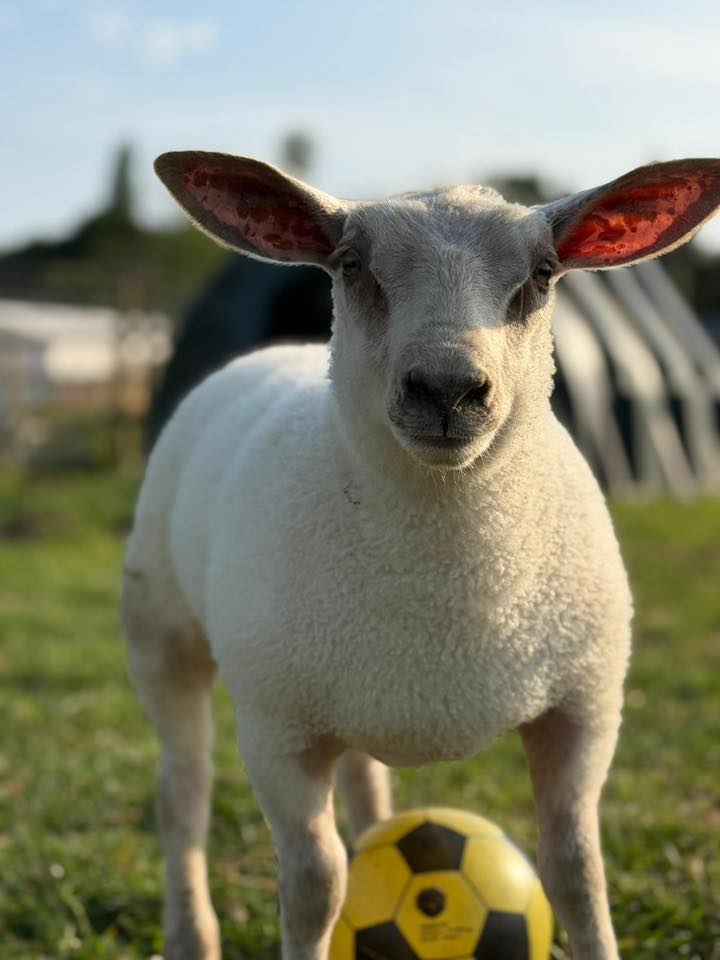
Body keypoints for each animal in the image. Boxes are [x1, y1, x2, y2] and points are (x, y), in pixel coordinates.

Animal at [122, 152, 720, 960]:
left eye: (543, 272)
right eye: (351, 264)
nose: (447, 388)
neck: (443, 592)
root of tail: (281, 348)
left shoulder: (584, 707)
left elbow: (576, 871)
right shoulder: (279, 730)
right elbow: (312, 884)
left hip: (352, 689)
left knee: (364, 780)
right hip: (164, 631)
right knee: (183, 792)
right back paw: (191, 934)